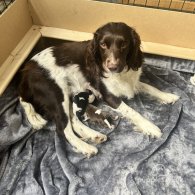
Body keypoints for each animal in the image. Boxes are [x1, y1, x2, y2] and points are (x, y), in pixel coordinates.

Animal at [18, 22, 180, 157]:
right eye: (102, 44)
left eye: (124, 44)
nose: (112, 67)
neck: (121, 74)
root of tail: (26, 70)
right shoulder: (109, 96)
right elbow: (132, 112)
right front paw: (150, 126)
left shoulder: (132, 83)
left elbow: (150, 87)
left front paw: (168, 96)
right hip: (57, 95)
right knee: (62, 128)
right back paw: (85, 146)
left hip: (67, 96)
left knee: (72, 120)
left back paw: (93, 135)